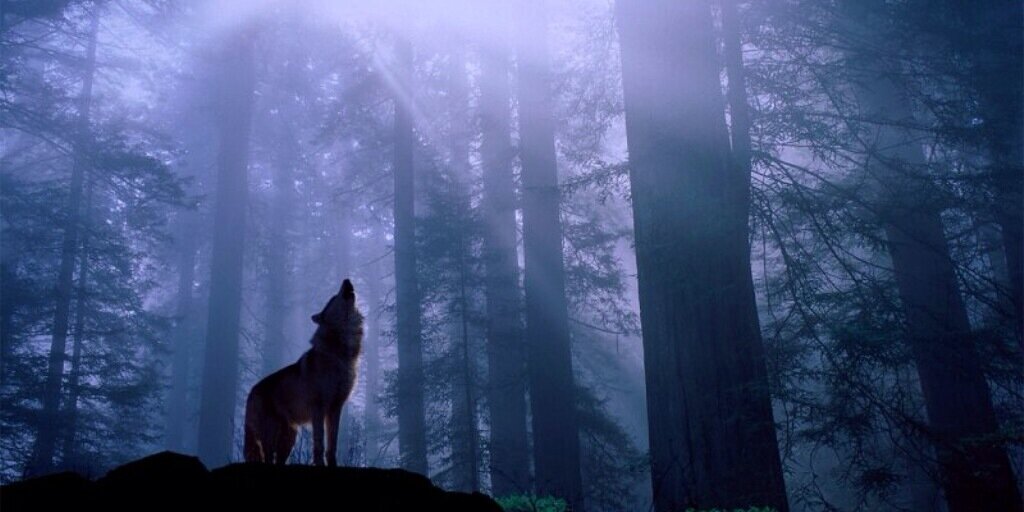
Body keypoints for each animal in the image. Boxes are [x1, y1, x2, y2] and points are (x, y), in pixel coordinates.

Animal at [243, 279, 363, 466]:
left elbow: (332, 446)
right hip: (270, 438)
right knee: (268, 459)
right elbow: (319, 445)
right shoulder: (318, 409)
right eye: (333, 297)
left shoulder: (335, 408)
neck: (339, 353)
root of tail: (251, 391)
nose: (346, 279)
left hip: (289, 439)